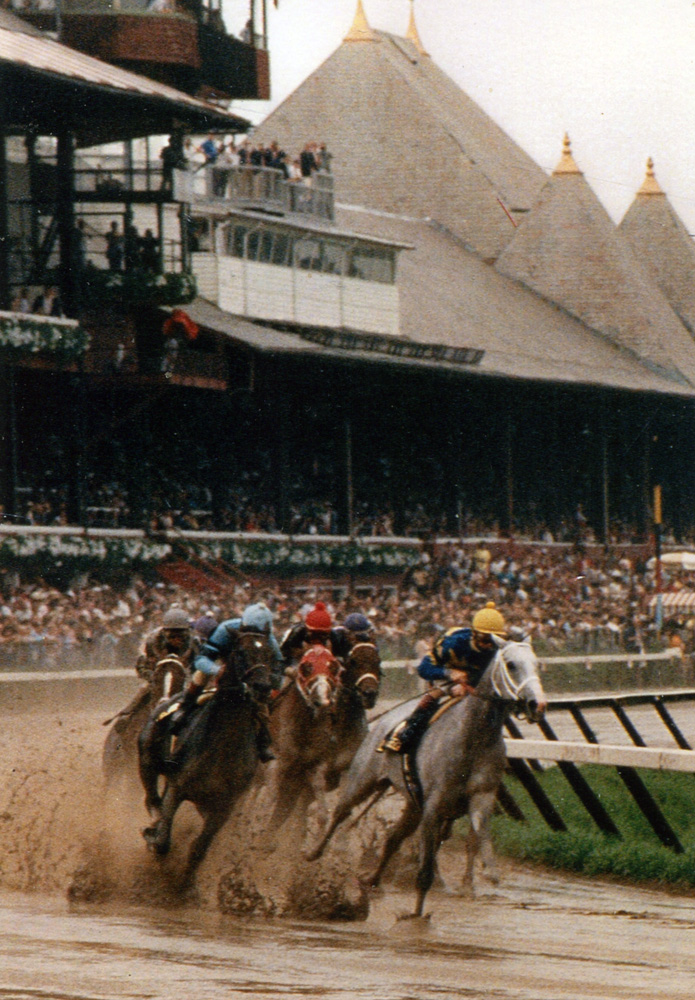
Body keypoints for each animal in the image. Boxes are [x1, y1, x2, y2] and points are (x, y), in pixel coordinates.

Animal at [308, 636, 548, 916]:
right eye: (511, 664)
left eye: (537, 664)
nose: (537, 704)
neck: (473, 736)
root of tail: (383, 721)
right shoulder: (433, 808)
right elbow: (425, 871)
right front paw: (416, 915)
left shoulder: (480, 796)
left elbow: (477, 834)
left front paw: (483, 875)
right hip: (362, 778)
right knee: (340, 813)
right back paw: (314, 852)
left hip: (413, 804)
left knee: (393, 838)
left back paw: (373, 879)